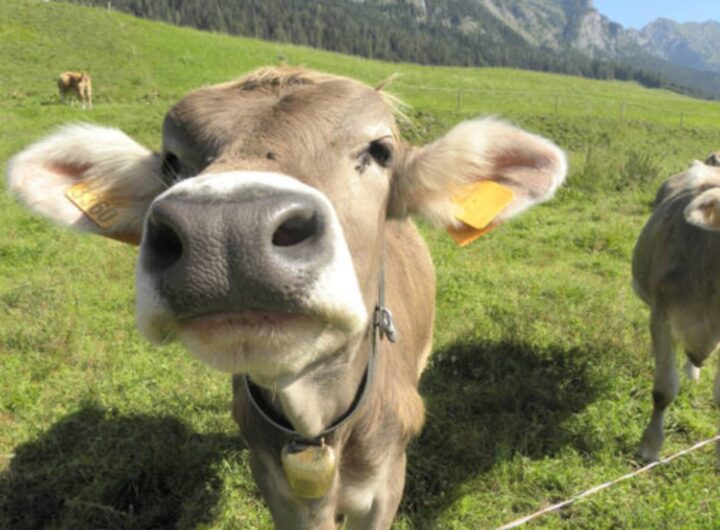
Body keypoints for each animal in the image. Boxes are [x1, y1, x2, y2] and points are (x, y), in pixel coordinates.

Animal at [7, 67, 567, 529]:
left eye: (380, 150)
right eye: (170, 160)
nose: (227, 229)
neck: (315, 420)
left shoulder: (388, 484)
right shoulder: (276, 486)